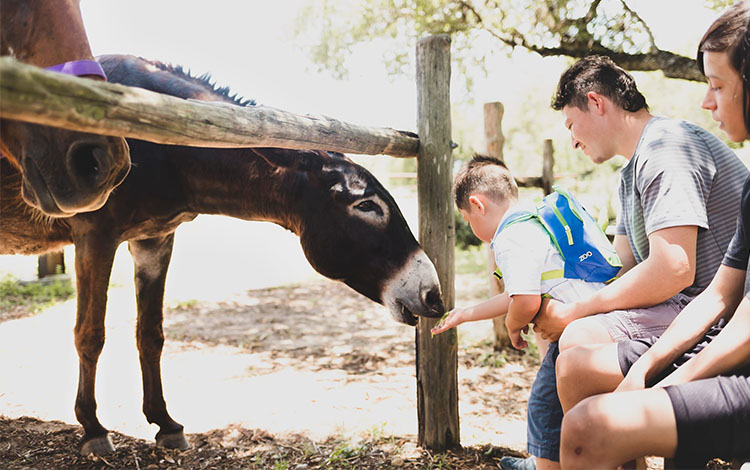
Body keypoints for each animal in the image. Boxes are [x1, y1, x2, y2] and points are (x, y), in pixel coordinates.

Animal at [0, 54, 446, 456]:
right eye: (366, 205)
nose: (434, 297)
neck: (164, 145)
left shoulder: (155, 239)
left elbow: (151, 334)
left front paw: (165, 423)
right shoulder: (95, 235)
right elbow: (90, 334)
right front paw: (93, 429)